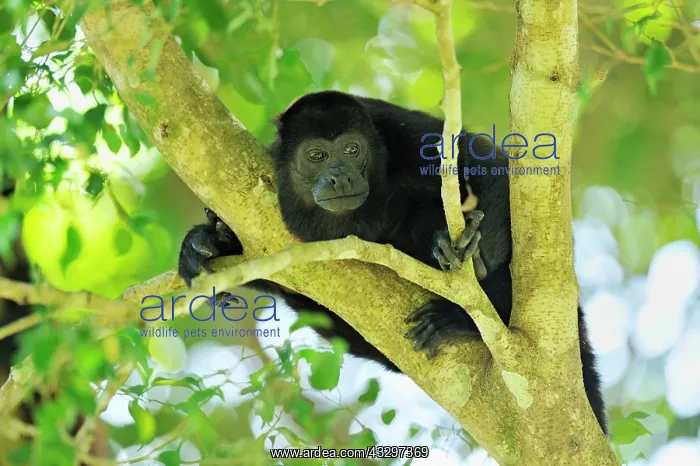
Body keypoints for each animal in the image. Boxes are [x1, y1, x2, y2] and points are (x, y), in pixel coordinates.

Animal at [178, 90, 607, 433]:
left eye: (352, 150)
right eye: (316, 156)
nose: (339, 178)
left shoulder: (399, 127)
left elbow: (486, 161)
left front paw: (474, 248)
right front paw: (205, 242)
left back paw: (460, 312)